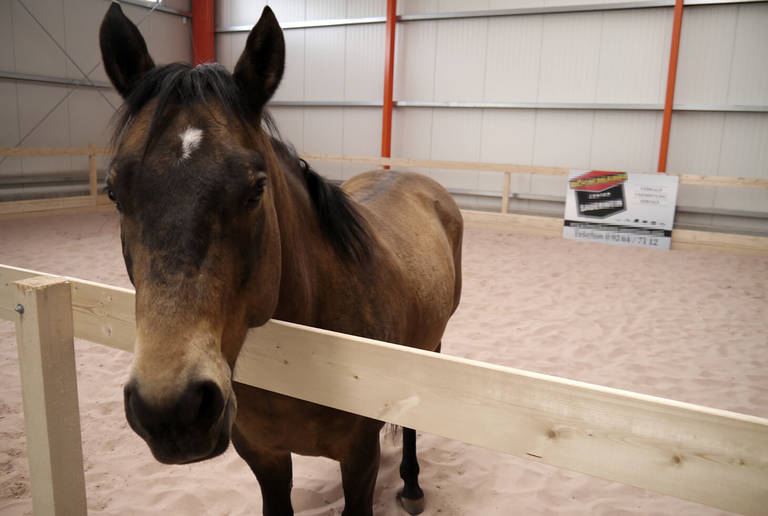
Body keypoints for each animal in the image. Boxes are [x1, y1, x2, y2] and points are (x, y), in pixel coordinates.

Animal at [100, 5, 462, 516]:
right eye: (114, 192)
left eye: (256, 189)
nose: (171, 410)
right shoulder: (264, 456)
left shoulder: (360, 459)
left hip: (430, 349)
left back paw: (412, 485)